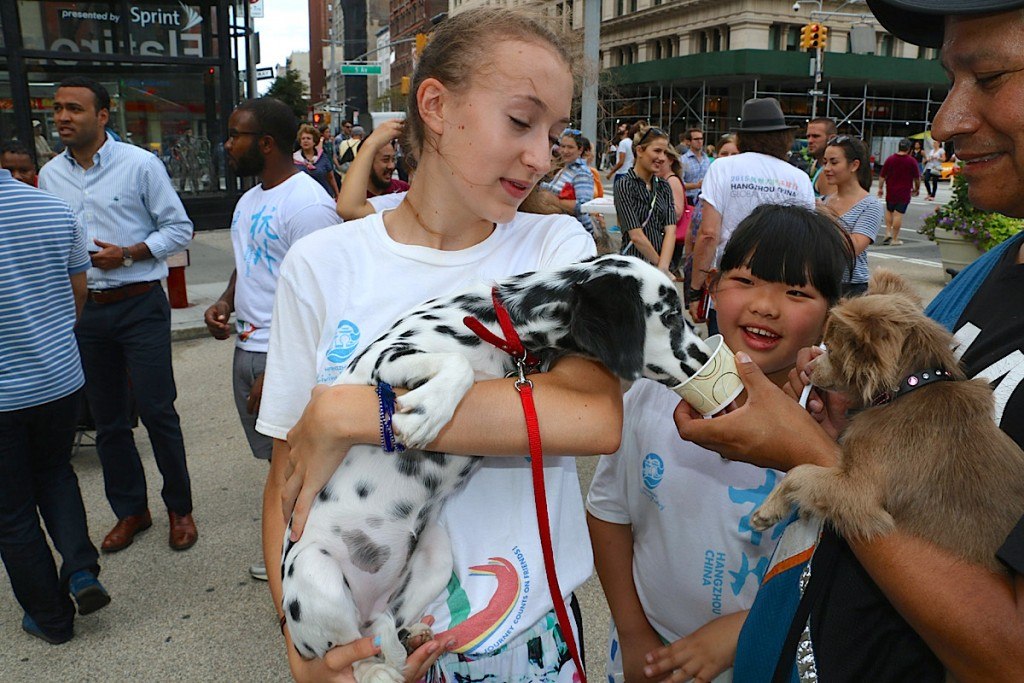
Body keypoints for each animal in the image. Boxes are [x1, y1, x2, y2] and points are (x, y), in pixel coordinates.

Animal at [280, 253, 712, 679]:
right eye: (670, 315)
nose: (708, 356)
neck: (494, 326)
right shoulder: (383, 359)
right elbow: (459, 363)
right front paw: (428, 412)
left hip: (436, 560)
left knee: (384, 626)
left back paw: (412, 639)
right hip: (317, 573)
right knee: (360, 654)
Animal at [749, 270, 1024, 573]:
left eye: (831, 350)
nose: (808, 368)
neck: (910, 387)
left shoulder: (858, 492)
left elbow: (800, 472)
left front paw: (768, 509)